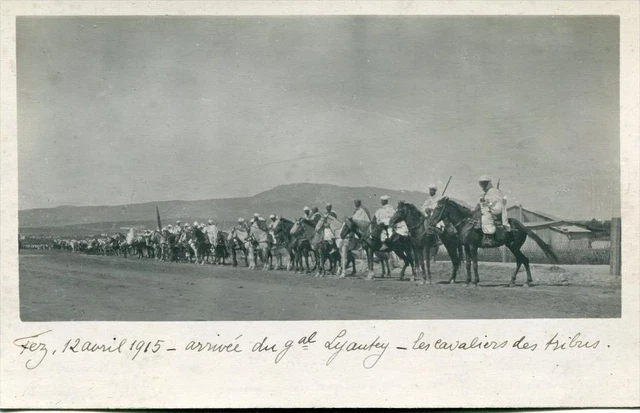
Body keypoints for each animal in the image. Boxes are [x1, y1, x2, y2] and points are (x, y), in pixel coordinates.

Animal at [430, 197, 560, 286]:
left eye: (439, 207)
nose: (431, 222)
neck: (467, 224)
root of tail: (522, 226)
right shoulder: (466, 247)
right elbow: (468, 264)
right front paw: (467, 281)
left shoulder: (473, 246)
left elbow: (475, 264)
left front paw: (475, 281)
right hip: (512, 246)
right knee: (521, 260)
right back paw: (514, 281)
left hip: (514, 246)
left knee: (524, 260)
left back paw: (527, 281)